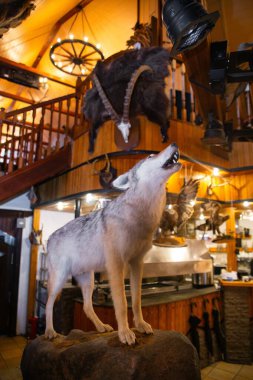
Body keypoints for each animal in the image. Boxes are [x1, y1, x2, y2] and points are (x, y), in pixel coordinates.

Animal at [45, 142, 180, 344]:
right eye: (150, 156)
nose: (174, 144)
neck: (142, 215)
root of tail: (49, 238)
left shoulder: (137, 263)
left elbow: (137, 301)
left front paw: (141, 325)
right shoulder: (116, 265)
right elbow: (122, 303)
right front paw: (125, 333)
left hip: (88, 281)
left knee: (86, 307)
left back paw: (102, 327)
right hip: (59, 280)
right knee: (48, 304)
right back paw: (50, 332)